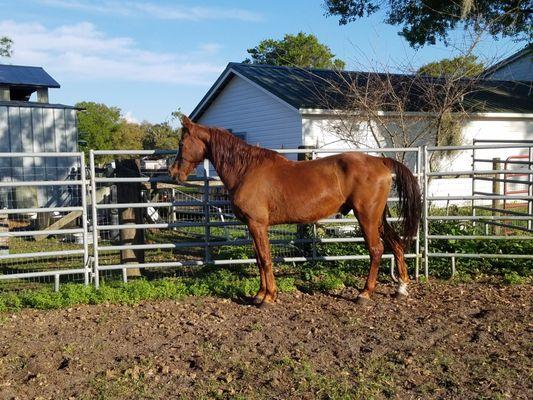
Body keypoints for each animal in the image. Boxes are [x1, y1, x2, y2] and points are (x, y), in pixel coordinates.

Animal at [169, 117, 420, 304]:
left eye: (181, 144)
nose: (173, 173)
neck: (246, 170)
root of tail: (381, 162)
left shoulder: (258, 224)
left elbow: (266, 259)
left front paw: (268, 297)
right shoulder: (252, 226)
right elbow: (259, 259)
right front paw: (259, 294)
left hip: (366, 217)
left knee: (376, 250)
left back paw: (364, 293)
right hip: (377, 217)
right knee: (396, 243)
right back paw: (401, 287)